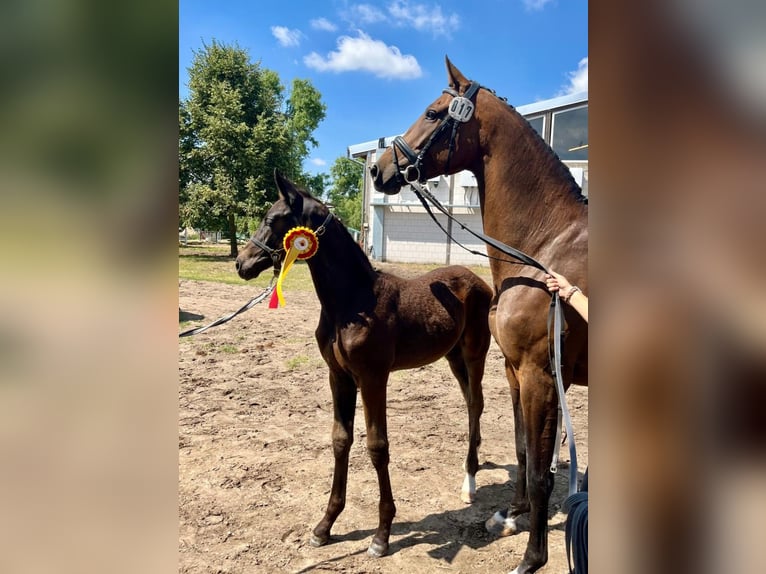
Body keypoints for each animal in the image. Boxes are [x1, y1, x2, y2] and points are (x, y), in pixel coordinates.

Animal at [235, 170, 494, 557]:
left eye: (271, 219)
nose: (242, 264)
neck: (352, 301)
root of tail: (480, 282)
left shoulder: (373, 378)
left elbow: (377, 446)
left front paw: (382, 534)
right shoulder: (339, 377)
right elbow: (341, 440)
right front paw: (325, 525)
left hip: (476, 354)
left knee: (476, 404)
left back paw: (471, 481)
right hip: (453, 357)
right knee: (470, 405)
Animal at [370, 57, 588, 573]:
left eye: (433, 113)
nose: (378, 168)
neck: (543, 253)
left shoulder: (541, 374)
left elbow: (543, 471)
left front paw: (531, 558)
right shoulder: (515, 371)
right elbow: (526, 450)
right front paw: (514, 514)